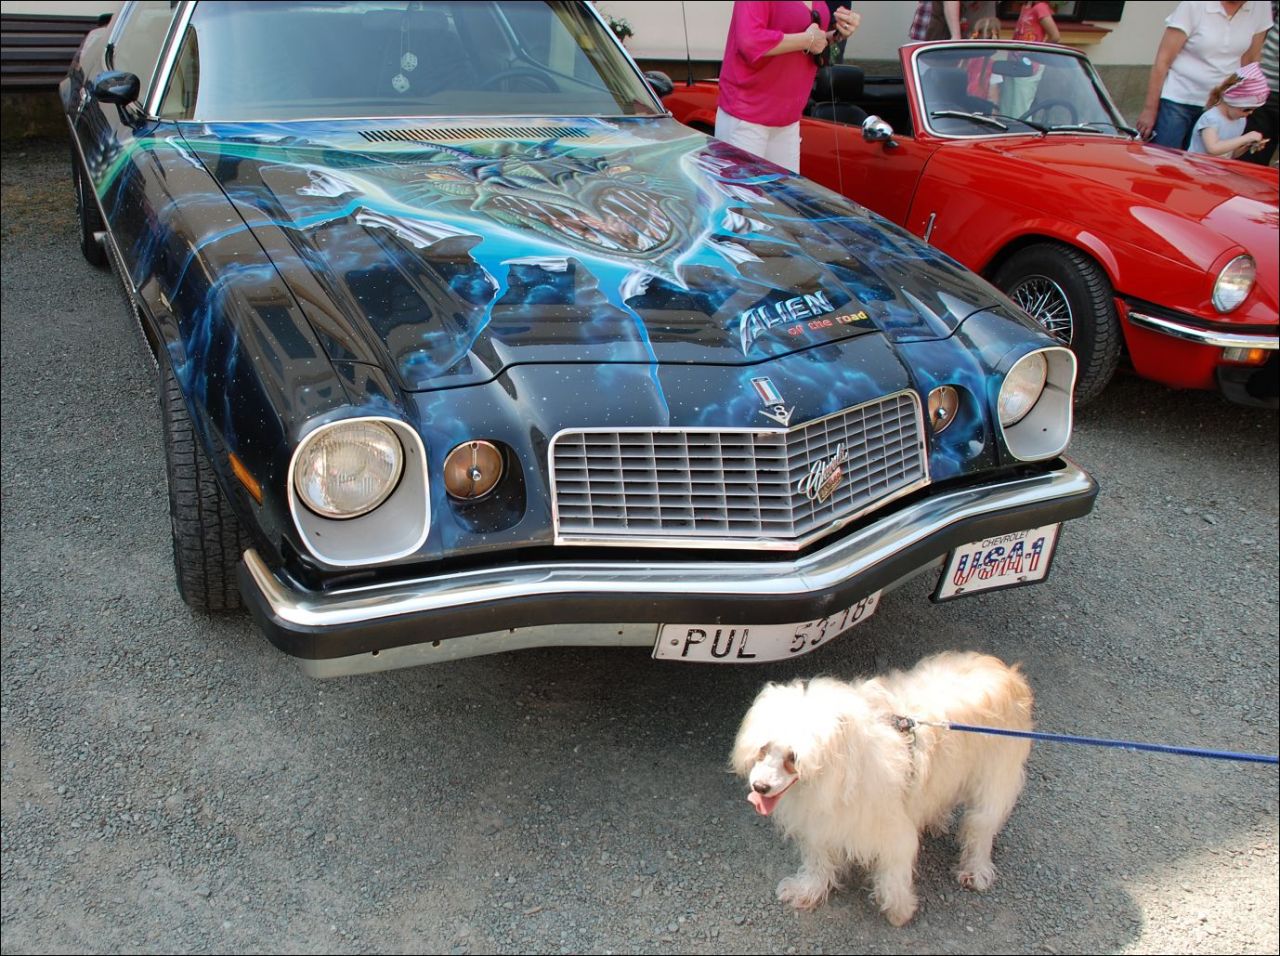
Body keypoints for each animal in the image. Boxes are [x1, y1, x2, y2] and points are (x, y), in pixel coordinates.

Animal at [730, 651, 1033, 926]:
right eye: (763, 748)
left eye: (793, 758)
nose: (760, 786)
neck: (836, 774)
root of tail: (1007, 673)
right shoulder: (820, 825)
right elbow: (818, 861)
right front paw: (808, 890)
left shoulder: (892, 832)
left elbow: (893, 874)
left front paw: (899, 910)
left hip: (993, 782)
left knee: (980, 828)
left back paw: (975, 869)